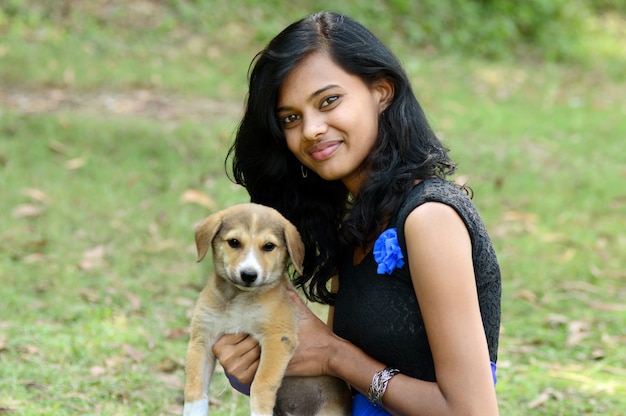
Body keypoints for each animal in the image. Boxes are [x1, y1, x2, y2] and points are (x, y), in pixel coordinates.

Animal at [183, 203, 354, 416]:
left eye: (269, 246)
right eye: (234, 242)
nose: (249, 275)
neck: (238, 298)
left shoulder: (278, 338)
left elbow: (261, 384)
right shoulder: (202, 339)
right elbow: (194, 389)